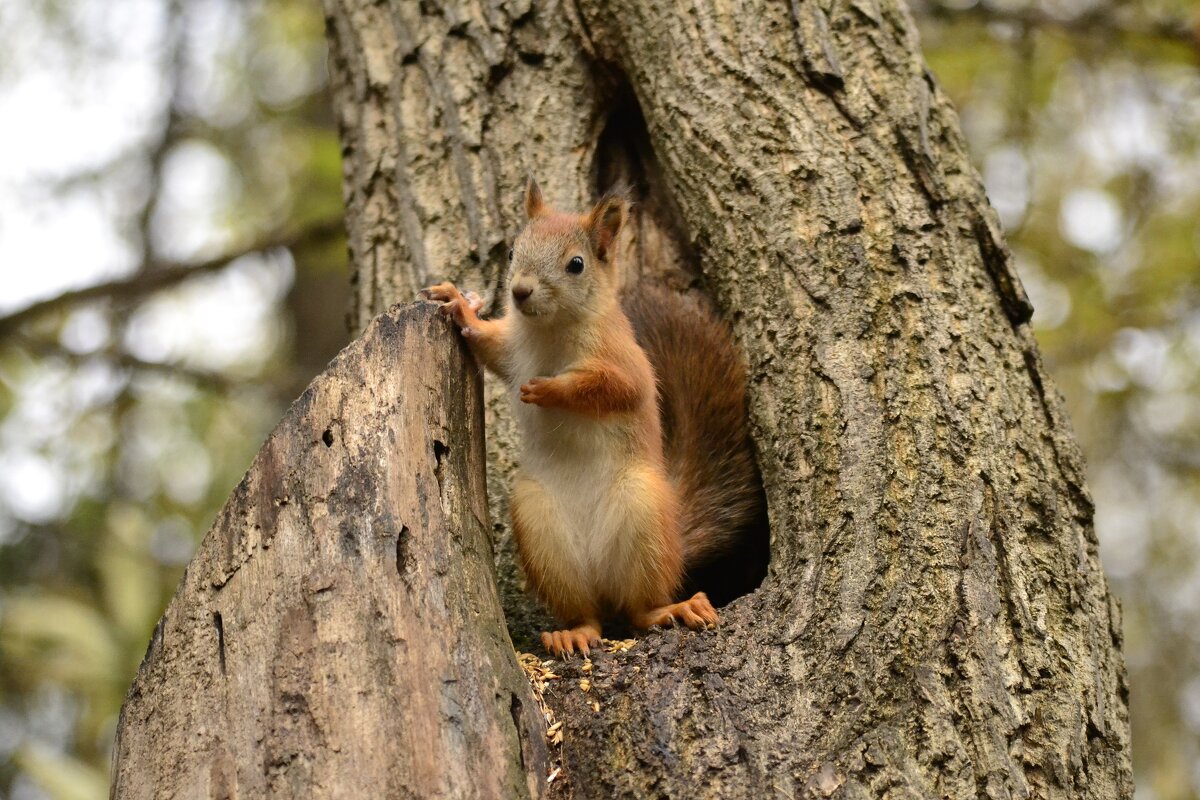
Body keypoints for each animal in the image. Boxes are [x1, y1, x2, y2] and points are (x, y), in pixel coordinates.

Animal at [417, 179, 763, 657]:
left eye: (576, 264)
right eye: (513, 251)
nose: (520, 291)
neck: (550, 331)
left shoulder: (625, 361)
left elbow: (612, 389)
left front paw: (549, 390)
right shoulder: (511, 349)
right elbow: (488, 344)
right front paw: (458, 304)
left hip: (643, 513)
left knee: (641, 609)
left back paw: (673, 608)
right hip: (541, 530)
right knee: (589, 615)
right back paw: (573, 632)